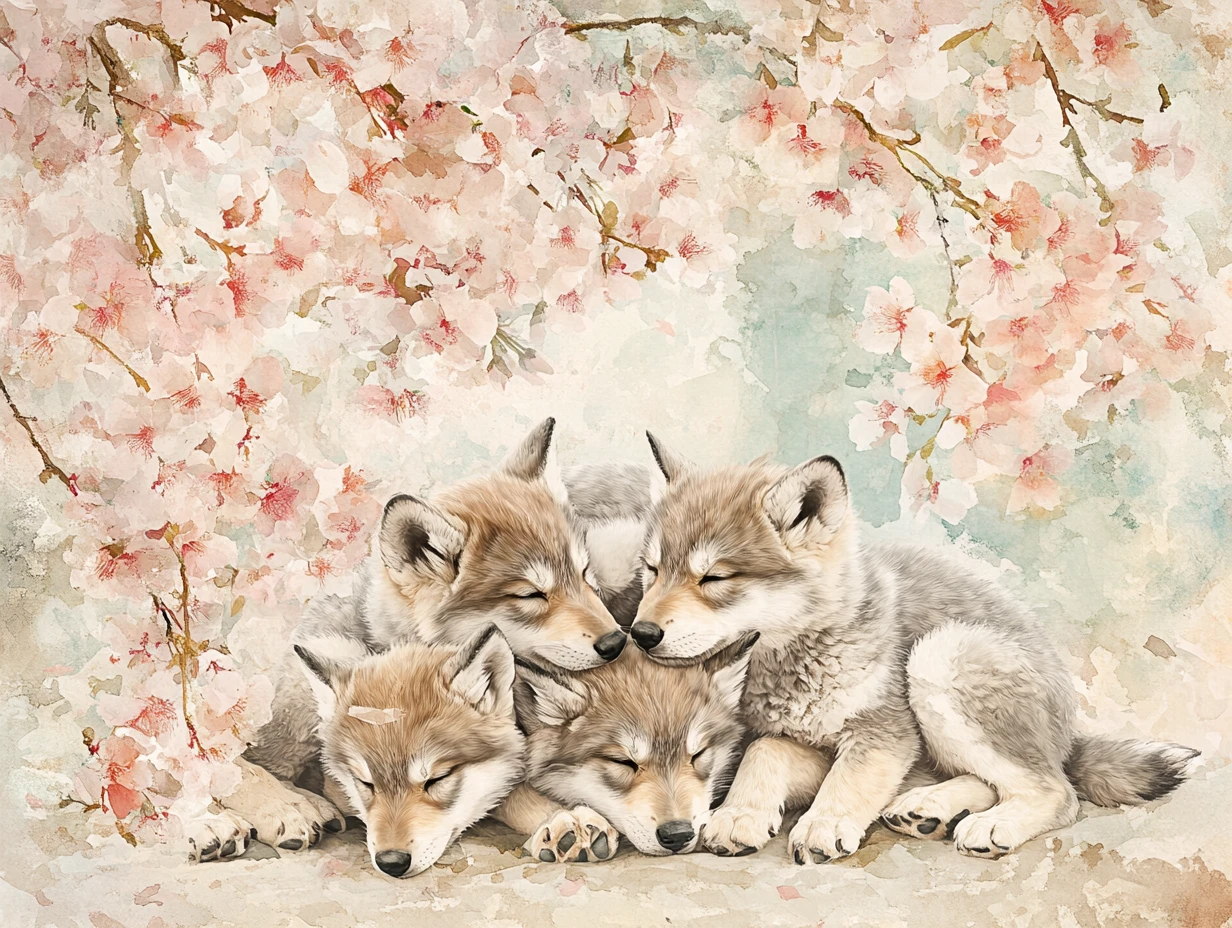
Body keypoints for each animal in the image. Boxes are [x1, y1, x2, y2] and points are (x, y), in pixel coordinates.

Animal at [189, 420, 627, 862]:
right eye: (531, 595)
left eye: (585, 575)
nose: (616, 642)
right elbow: (504, 789)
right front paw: (561, 818)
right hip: (325, 663)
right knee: (229, 762)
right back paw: (264, 814)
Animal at [629, 434, 1198, 863]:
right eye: (652, 569)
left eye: (714, 578)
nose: (640, 633)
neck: (795, 659)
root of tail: (1067, 730)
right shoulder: (805, 741)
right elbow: (763, 752)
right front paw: (740, 815)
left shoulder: (885, 735)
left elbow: (846, 782)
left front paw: (823, 823)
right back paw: (929, 808)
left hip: (939, 657)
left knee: (1058, 791)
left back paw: (990, 824)